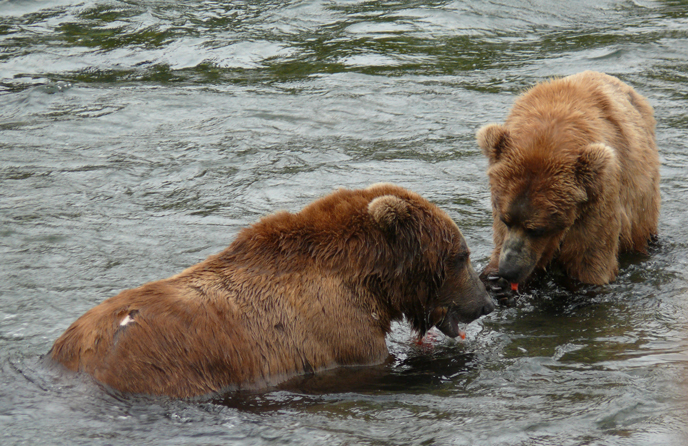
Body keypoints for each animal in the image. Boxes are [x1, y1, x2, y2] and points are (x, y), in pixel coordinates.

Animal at [49, 183, 494, 398]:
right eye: (462, 254)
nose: (486, 302)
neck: (368, 281)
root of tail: (75, 352)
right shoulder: (341, 331)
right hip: (164, 368)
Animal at [476, 70, 660, 290]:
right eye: (506, 220)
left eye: (536, 229)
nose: (508, 270)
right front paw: (494, 280)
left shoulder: (594, 200)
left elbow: (589, 261)